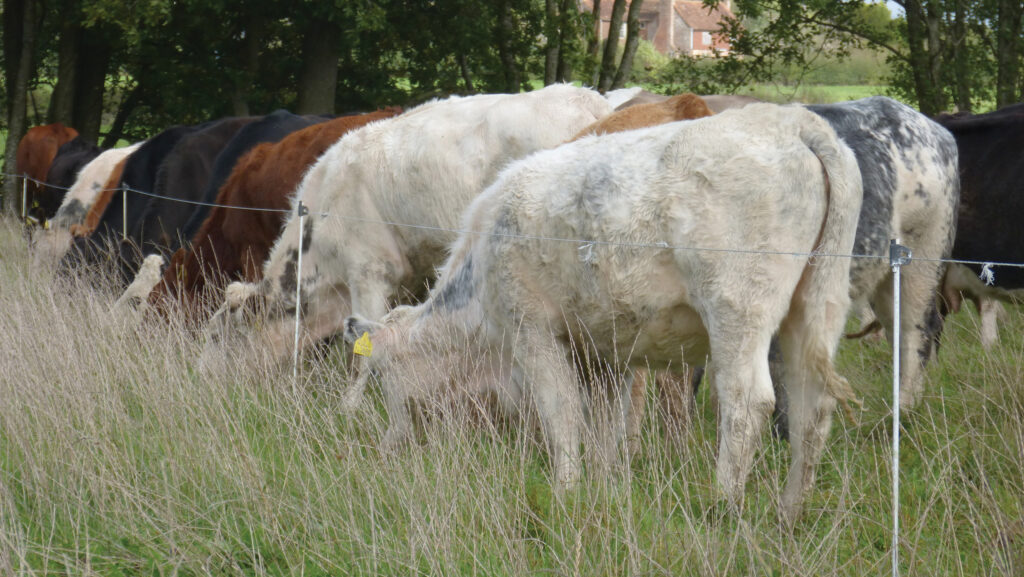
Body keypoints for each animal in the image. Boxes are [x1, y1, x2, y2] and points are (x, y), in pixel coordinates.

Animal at [342, 105, 864, 524]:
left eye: (381, 373)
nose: (385, 449)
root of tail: (789, 120)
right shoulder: (605, 353)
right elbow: (607, 426)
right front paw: (605, 485)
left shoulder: (530, 327)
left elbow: (562, 412)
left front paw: (564, 491)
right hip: (816, 307)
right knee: (812, 406)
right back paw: (790, 511)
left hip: (738, 308)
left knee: (748, 401)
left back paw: (724, 505)